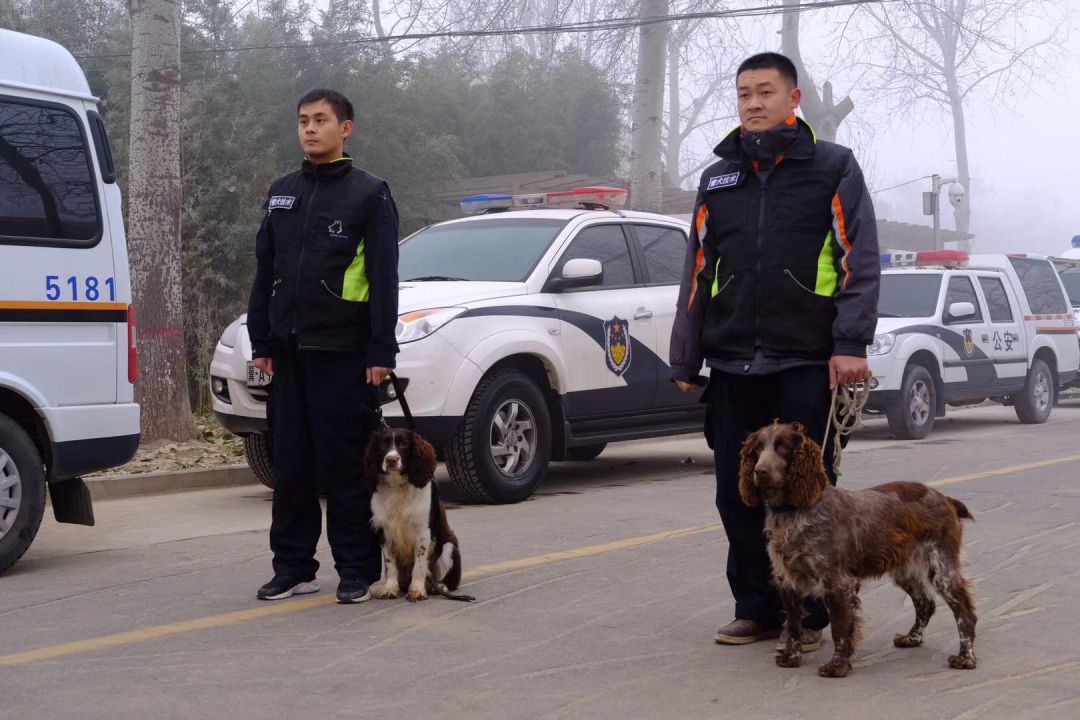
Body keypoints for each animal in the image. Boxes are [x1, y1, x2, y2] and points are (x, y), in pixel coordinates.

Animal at [365, 427, 466, 604]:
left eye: (404, 444)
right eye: (383, 446)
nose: (391, 460)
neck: (397, 487)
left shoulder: (423, 532)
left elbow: (419, 565)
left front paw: (417, 590)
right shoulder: (385, 532)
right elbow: (390, 564)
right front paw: (390, 588)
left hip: (449, 546)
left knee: (447, 579)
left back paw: (439, 586)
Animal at [738, 423, 976, 677]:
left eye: (783, 446)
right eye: (758, 448)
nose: (760, 471)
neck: (794, 511)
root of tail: (944, 497)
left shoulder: (838, 583)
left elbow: (840, 629)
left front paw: (837, 666)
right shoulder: (787, 581)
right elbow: (793, 625)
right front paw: (791, 657)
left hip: (942, 568)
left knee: (964, 611)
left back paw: (966, 657)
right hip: (906, 571)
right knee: (925, 604)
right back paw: (912, 638)